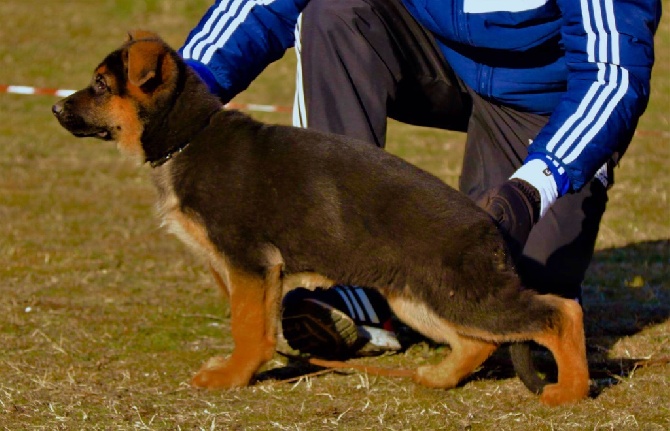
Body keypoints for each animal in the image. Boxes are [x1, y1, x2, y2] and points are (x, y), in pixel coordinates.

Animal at [51, 32, 588, 406]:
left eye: (100, 86)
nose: (55, 107)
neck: (188, 135)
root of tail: (490, 226)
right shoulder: (250, 272)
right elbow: (256, 325)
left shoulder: (249, 264)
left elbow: (248, 327)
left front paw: (233, 376)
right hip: (422, 298)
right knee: (478, 342)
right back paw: (438, 377)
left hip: (464, 295)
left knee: (560, 312)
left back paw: (571, 391)